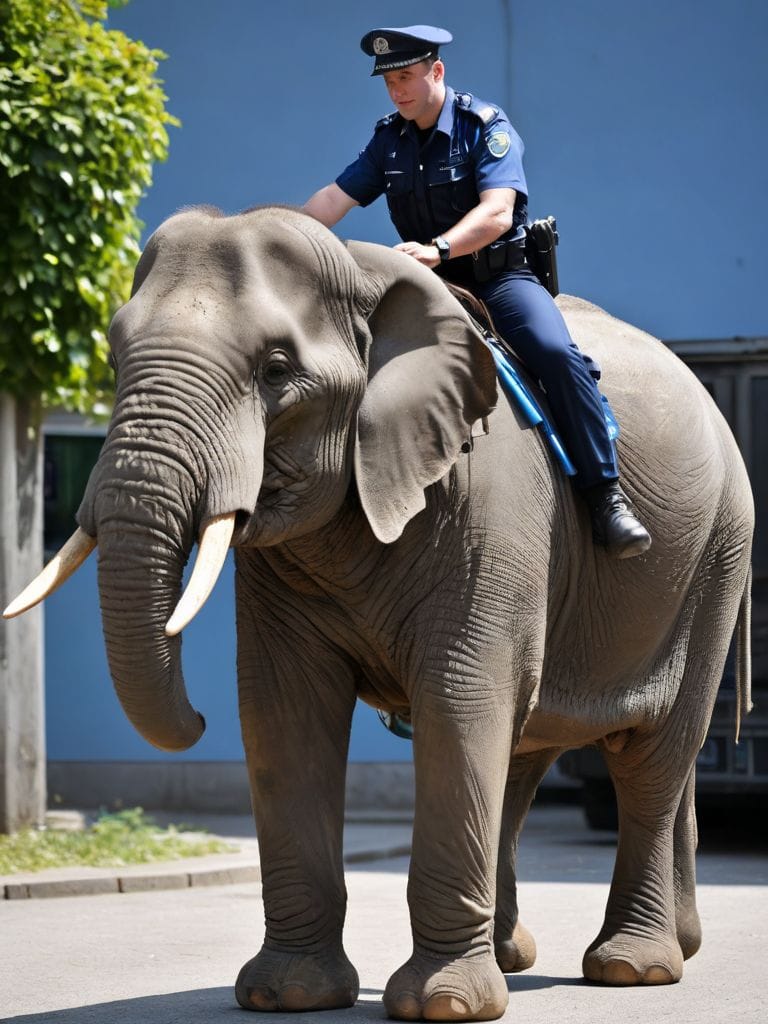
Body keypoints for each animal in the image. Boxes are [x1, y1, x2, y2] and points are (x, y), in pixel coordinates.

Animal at [4, 203, 753, 1019]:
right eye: (111, 360)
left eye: (276, 371)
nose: (195, 719)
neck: (364, 278)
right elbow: (284, 710)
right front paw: (286, 994)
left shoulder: (494, 503)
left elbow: (459, 697)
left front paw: (443, 1005)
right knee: (527, 753)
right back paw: (531, 956)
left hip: (716, 556)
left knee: (652, 755)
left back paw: (632, 968)